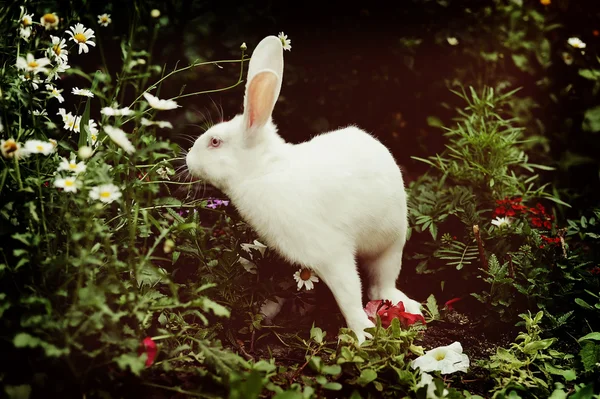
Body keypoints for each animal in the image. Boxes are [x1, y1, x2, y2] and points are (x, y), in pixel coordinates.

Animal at [188, 35, 422, 344]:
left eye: (215, 142)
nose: (187, 159)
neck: (263, 171)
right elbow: (279, 288)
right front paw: (264, 314)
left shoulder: (331, 253)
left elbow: (349, 295)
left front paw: (362, 334)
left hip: (389, 244)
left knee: (380, 285)